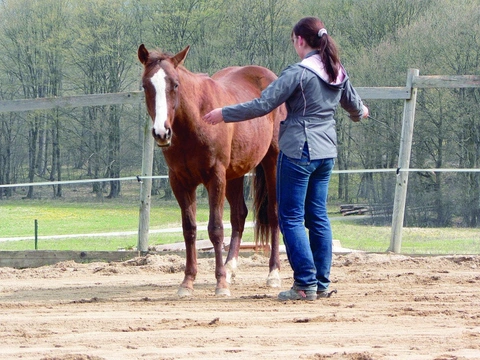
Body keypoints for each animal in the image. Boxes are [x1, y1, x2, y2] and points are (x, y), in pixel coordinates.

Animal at [137, 44, 284, 296]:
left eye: (175, 84)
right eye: (146, 85)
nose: (161, 132)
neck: (196, 121)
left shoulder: (215, 177)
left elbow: (215, 229)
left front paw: (220, 283)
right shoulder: (180, 181)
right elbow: (189, 229)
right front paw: (188, 281)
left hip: (271, 162)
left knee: (273, 214)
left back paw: (273, 273)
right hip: (234, 174)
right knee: (239, 216)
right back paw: (230, 267)